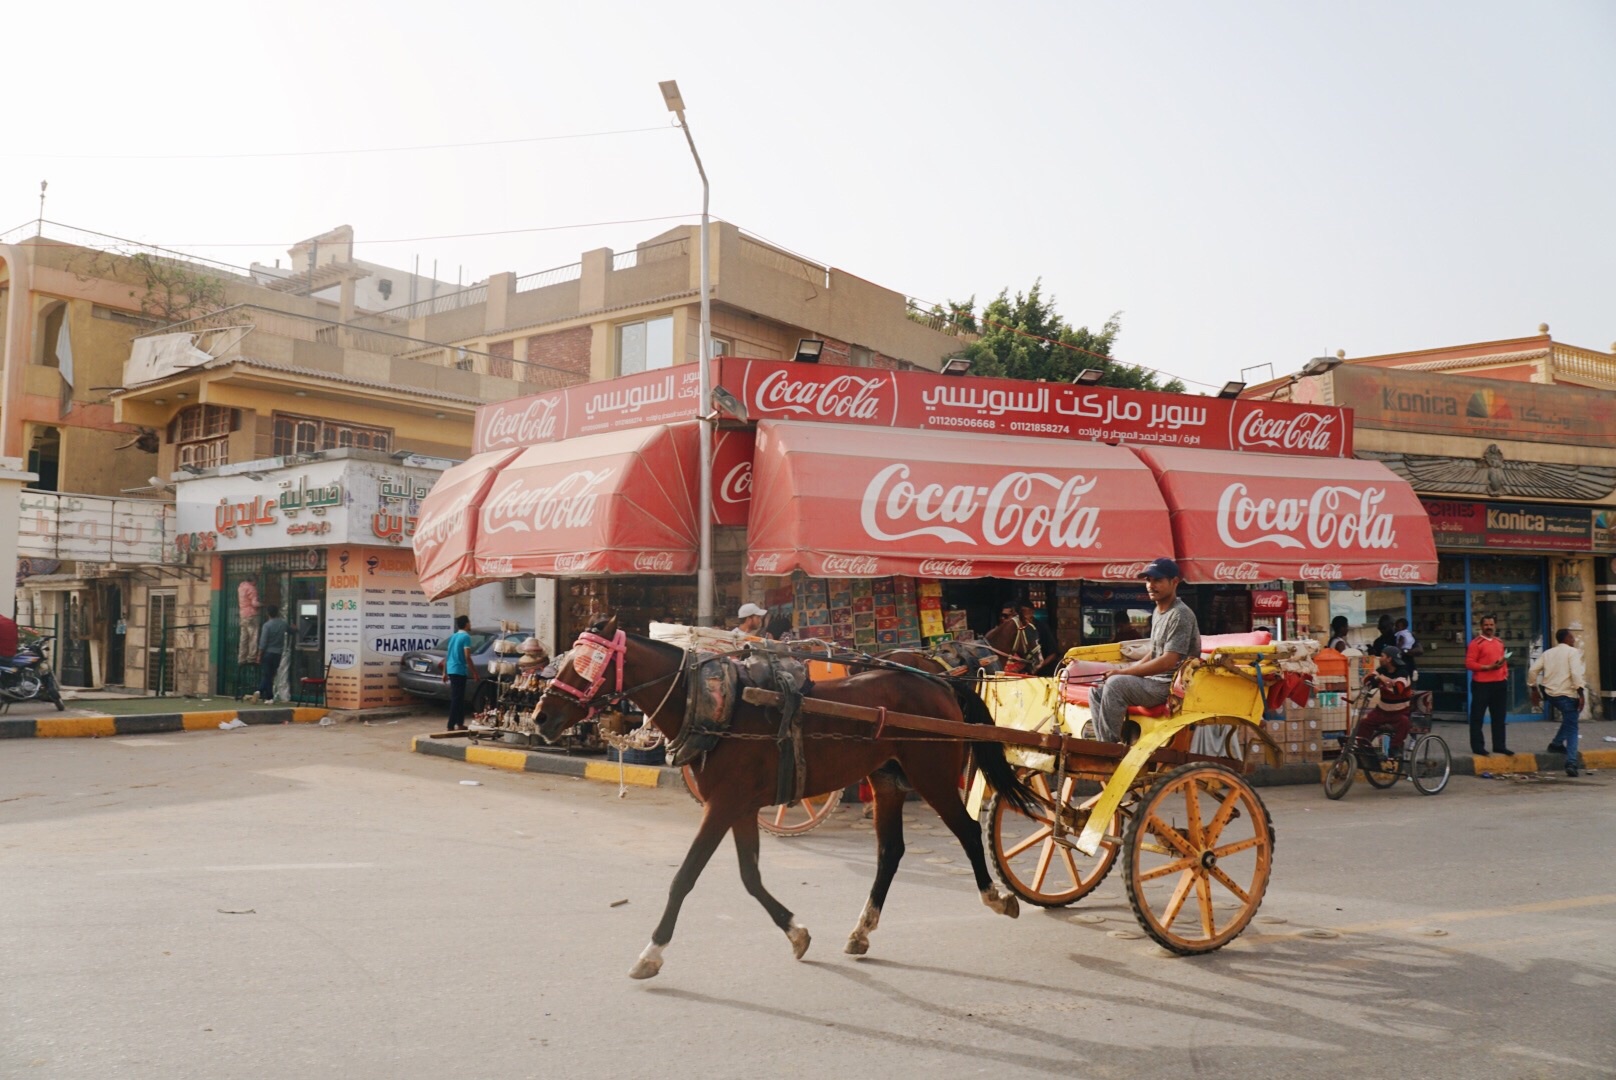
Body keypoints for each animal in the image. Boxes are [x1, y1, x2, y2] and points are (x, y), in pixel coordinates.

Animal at [530, 614, 1034, 976]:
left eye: (583, 665)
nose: (540, 717)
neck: (714, 705)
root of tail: (940, 681)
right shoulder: (740, 807)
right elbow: (750, 876)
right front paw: (796, 933)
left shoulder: (724, 805)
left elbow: (685, 877)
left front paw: (652, 952)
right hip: (889, 779)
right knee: (890, 851)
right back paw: (862, 930)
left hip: (931, 774)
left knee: (968, 828)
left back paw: (998, 897)